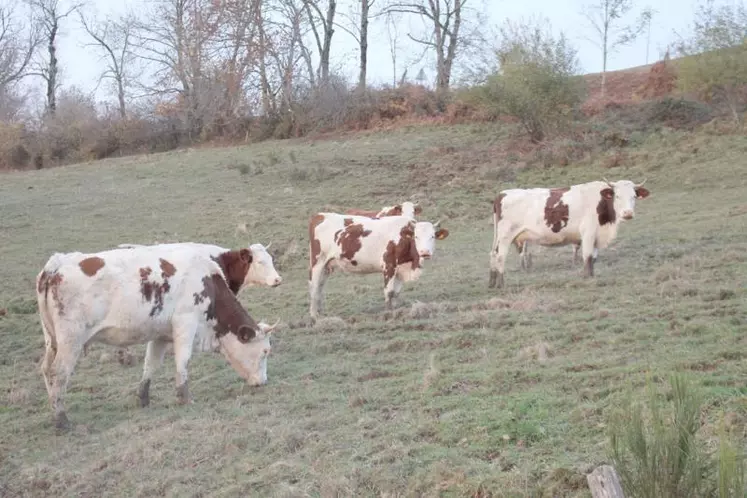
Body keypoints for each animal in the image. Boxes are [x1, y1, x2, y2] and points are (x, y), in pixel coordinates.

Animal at [35, 245, 280, 428]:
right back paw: (62, 419)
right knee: (59, 373)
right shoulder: (185, 324)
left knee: (46, 370)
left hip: (52, 341)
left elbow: (151, 365)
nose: (263, 382)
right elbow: (183, 361)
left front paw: (143, 398)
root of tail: (55, 266)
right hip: (71, 342)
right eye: (265, 351)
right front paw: (185, 397)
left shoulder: (160, 334)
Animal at [308, 214, 450, 320]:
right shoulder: (389, 265)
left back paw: (320, 312)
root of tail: (321, 215)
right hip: (317, 262)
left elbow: (396, 293)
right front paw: (388, 313)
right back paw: (314, 315)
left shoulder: (400, 269)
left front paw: (396, 310)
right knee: (314, 287)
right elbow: (389, 292)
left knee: (320, 287)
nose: (425, 252)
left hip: (326, 266)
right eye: (416, 236)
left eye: (432, 236)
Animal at [490, 179, 648, 288]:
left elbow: (594, 258)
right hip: (505, 236)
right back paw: (501, 284)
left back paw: (492, 283)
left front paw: (592, 275)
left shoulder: (596, 235)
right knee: (500, 256)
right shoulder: (588, 233)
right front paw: (587, 277)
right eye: (618, 196)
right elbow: (587, 256)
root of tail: (502, 194)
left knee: (493, 254)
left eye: (634, 196)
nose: (628, 213)